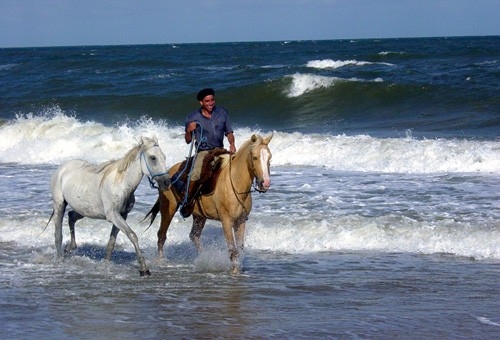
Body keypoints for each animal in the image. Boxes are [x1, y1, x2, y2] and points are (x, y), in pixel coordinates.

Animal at [47, 135, 171, 276]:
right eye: (153, 157)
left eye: (164, 157)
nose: (167, 182)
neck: (121, 184)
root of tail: (61, 168)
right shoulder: (114, 216)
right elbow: (132, 235)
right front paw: (144, 269)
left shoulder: (122, 215)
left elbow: (112, 242)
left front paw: (106, 264)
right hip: (59, 205)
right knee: (58, 234)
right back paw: (60, 258)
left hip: (83, 210)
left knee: (71, 216)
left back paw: (71, 247)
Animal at [145, 133, 274, 274]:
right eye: (255, 157)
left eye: (270, 157)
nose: (265, 183)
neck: (235, 183)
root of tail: (169, 171)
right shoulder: (226, 221)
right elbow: (232, 249)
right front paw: (234, 271)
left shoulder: (240, 221)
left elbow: (240, 249)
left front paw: (238, 268)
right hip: (168, 208)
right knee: (162, 234)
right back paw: (161, 261)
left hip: (199, 216)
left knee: (194, 236)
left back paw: (203, 257)